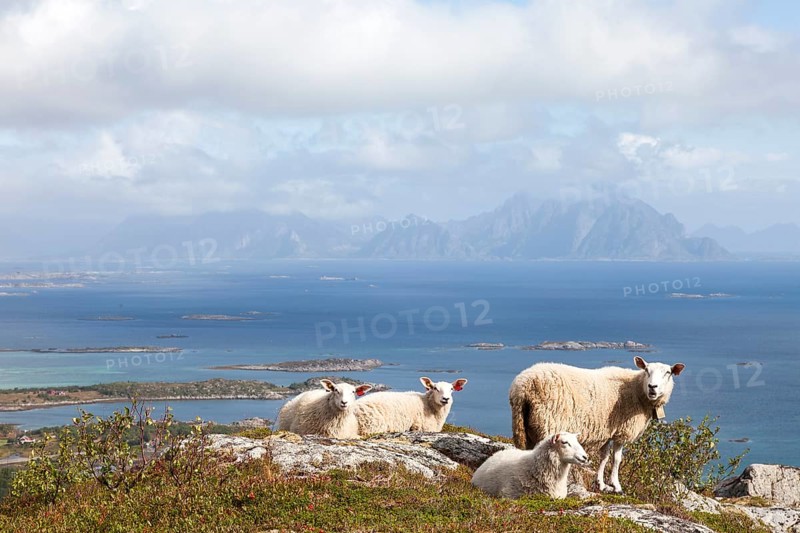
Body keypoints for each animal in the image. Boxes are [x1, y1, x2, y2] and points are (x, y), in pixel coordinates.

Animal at [509, 356, 685, 493]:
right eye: (647, 370)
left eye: (668, 373)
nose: (652, 387)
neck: (637, 390)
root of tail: (522, 387)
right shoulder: (622, 432)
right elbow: (617, 459)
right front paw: (617, 485)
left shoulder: (607, 431)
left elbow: (604, 457)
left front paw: (601, 484)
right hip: (547, 423)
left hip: (523, 425)